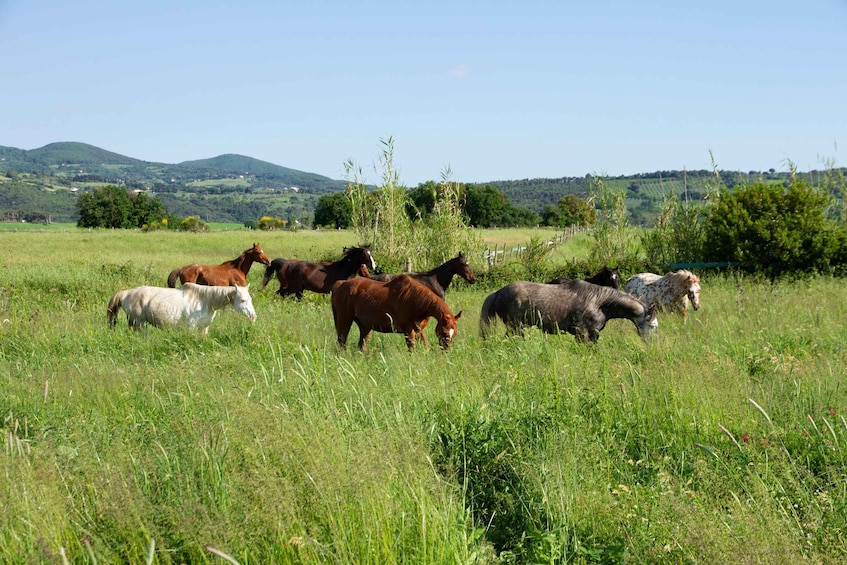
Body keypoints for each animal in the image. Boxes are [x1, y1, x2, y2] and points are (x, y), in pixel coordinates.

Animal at [107, 283, 256, 333]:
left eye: (250, 299)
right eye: (242, 300)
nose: (253, 317)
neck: (204, 301)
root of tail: (127, 293)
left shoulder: (204, 328)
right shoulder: (191, 327)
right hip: (139, 323)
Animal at [331, 275, 463, 351]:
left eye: (455, 333)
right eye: (444, 332)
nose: (446, 349)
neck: (413, 299)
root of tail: (340, 284)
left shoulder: (419, 330)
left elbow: (426, 346)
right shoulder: (408, 332)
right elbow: (412, 350)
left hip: (365, 327)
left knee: (361, 346)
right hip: (344, 321)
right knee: (341, 342)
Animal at [479, 279, 657, 343]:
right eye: (653, 326)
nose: (653, 344)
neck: (600, 302)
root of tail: (498, 292)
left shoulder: (593, 335)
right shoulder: (582, 334)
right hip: (515, 327)